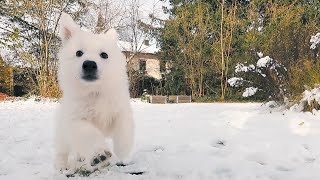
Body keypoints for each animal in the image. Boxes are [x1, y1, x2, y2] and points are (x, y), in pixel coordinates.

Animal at [54, 12, 134, 173]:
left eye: (104, 55)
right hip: (61, 133)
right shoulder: (75, 120)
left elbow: (124, 126)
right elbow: (89, 134)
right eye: (79, 53)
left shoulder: (119, 107)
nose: (89, 64)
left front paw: (123, 149)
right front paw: (100, 153)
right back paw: (62, 166)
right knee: (62, 150)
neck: (95, 91)